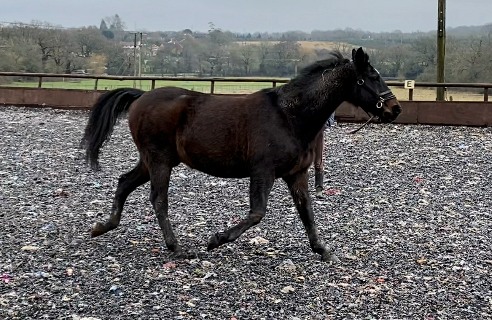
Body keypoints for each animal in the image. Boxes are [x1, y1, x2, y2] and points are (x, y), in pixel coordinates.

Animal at [82, 48, 402, 262]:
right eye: (371, 77)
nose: (394, 109)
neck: (289, 116)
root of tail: (141, 97)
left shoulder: (296, 173)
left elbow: (306, 212)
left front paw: (323, 250)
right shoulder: (263, 172)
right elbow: (257, 213)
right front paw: (216, 239)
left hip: (153, 161)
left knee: (124, 183)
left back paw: (102, 226)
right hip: (159, 161)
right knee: (158, 200)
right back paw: (176, 247)